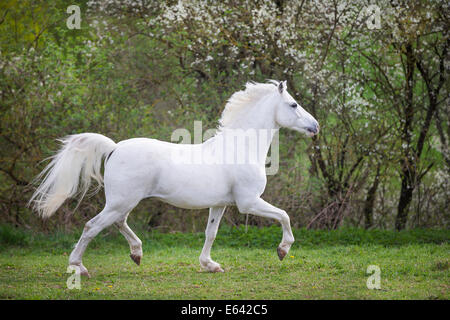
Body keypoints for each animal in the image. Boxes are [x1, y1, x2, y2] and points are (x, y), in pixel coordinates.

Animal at [29, 80, 316, 278]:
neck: (241, 147)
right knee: (92, 227)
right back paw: (78, 268)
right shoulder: (249, 202)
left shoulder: (220, 204)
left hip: (122, 203)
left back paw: (136, 254)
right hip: (121, 202)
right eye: (293, 104)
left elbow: (211, 233)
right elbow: (284, 215)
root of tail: (114, 148)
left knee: (118, 223)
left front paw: (210, 265)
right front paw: (283, 250)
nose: (315, 126)